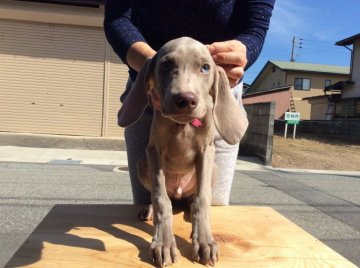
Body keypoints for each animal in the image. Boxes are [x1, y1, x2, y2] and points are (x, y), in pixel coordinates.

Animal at [118, 36, 248, 266]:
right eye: (165, 65)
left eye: (205, 67)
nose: (186, 99)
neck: (183, 125)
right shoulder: (154, 151)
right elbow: (161, 199)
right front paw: (163, 243)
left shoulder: (206, 151)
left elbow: (202, 199)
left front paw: (204, 241)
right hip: (142, 164)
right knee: (161, 196)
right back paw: (149, 209)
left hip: (214, 169)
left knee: (193, 198)